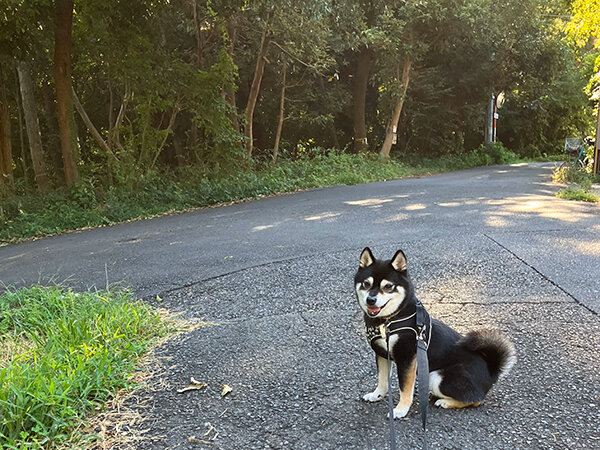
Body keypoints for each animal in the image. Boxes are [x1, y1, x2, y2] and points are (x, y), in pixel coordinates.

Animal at [356, 246, 516, 418]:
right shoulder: (382, 354)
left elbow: (405, 388)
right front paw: (376, 395)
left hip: (436, 376)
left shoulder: (407, 358)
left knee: (476, 400)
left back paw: (445, 402)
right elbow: (382, 380)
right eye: (366, 284)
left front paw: (400, 410)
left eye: (388, 286)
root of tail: (491, 373)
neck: (389, 320)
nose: (371, 300)